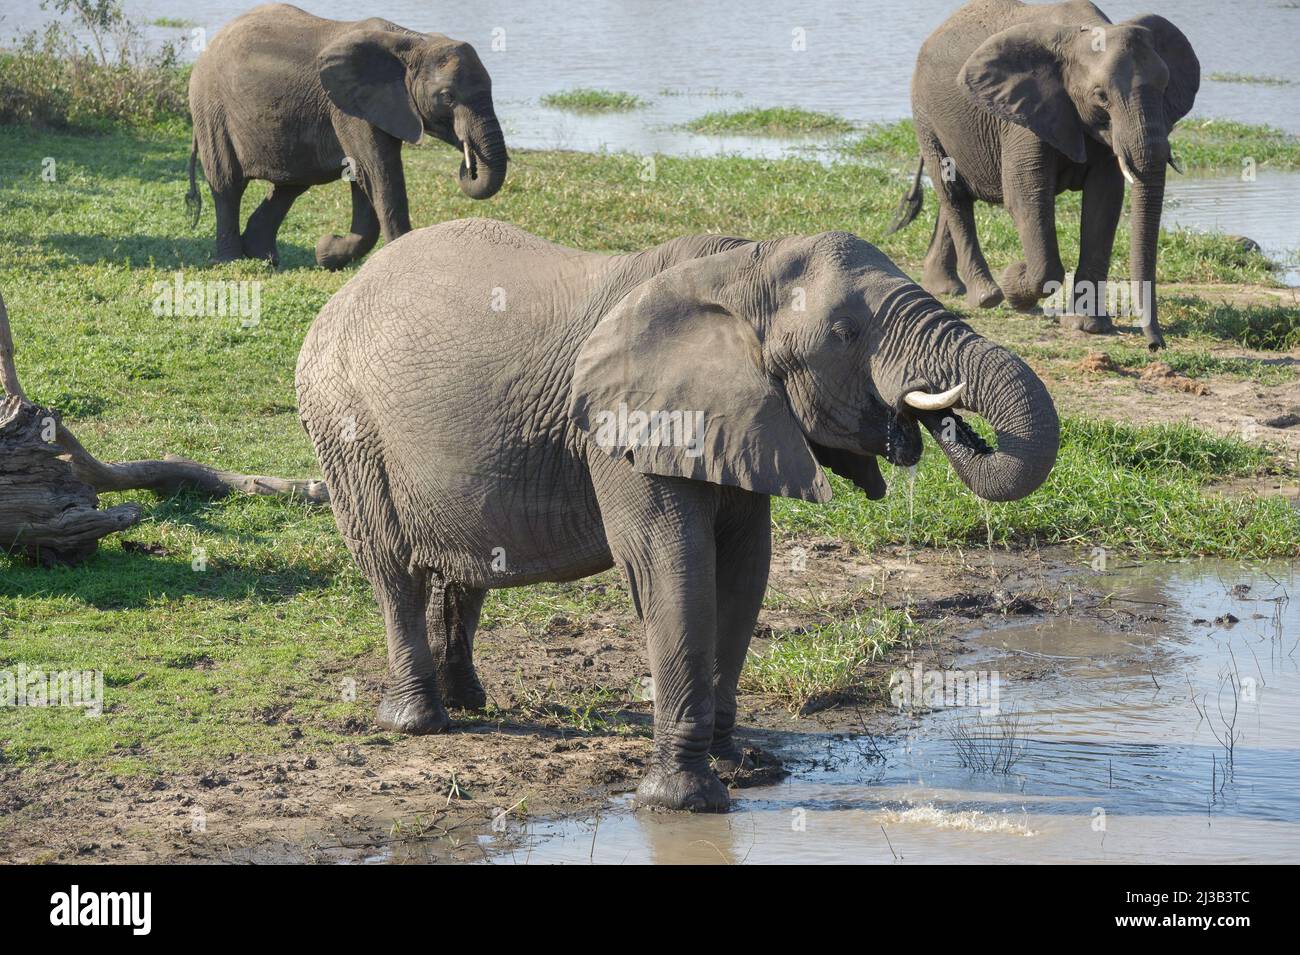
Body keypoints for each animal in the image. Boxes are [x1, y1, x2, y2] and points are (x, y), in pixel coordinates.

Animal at [187, 4, 506, 272]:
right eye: (447, 97)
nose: (468, 164)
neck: (414, 42)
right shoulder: (350, 109)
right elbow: (378, 173)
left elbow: (363, 175)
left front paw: (326, 253)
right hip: (210, 107)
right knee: (227, 183)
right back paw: (231, 261)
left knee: (290, 184)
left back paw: (264, 257)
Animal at [299, 218, 1060, 815]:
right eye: (845, 333)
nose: (943, 421)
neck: (743, 266)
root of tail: (341, 295)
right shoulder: (626, 424)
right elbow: (673, 567)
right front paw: (685, 800)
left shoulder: (744, 418)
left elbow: (745, 570)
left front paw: (743, 767)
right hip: (346, 426)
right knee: (391, 567)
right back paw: (420, 722)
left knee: (469, 569)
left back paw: (471, 702)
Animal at [889, 0, 1201, 350]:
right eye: (1101, 96)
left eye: (1165, 88)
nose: (1155, 344)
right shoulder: (1022, 118)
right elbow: (1026, 196)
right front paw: (1015, 280)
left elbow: (1104, 202)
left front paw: (1088, 326)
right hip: (925, 116)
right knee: (952, 192)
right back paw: (987, 296)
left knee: (955, 196)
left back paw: (945, 287)